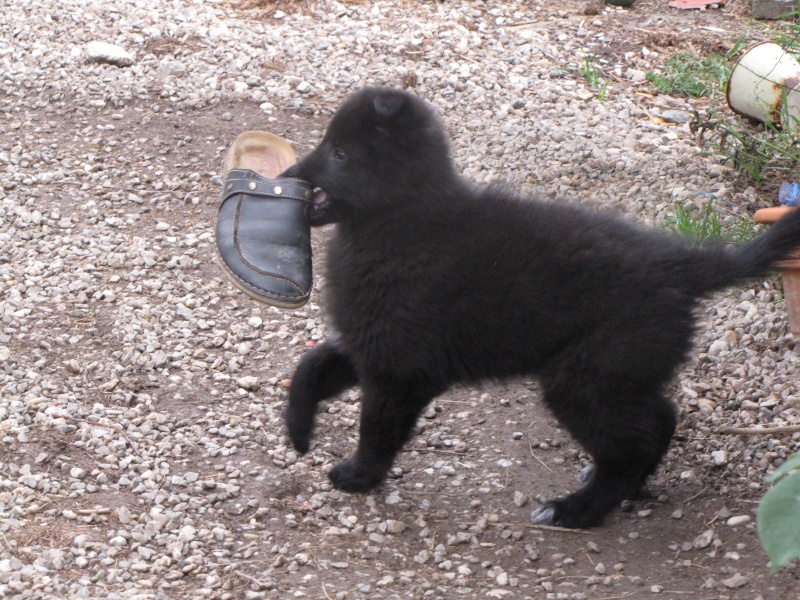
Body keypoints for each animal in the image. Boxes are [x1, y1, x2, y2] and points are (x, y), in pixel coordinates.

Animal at [280, 86, 800, 528]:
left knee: (636, 441)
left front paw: (358, 476)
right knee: (660, 419)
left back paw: (579, 509)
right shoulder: (369, 341)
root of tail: (679, 265)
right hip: (618, 373)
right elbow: (310, 368)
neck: (394, 226)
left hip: (585, 377)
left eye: (340, 153)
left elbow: (377, 430)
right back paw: (621, 487)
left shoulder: (401, 368)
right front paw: (298, 431)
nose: (285, 179)